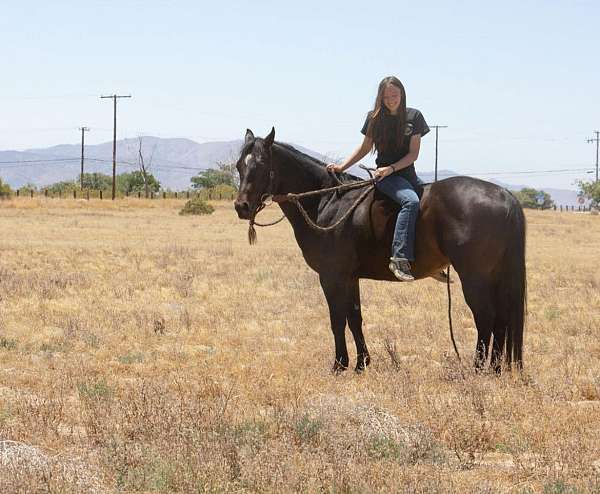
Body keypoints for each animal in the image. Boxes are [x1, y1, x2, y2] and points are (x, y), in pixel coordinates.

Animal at [233, 128, 524, 374]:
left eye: (261, 165)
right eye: (239, 165)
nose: (241, 207)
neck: (328, 201)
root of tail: (505, 195)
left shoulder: (331, 276)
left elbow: (337, 319)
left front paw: (339, 365)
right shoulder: (350, 277)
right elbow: (354, 317)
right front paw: (361, 363)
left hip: (475, 277)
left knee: (486, 318)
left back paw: (478, 369)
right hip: (495, 276)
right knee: (501, 320)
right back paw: (496, 369)